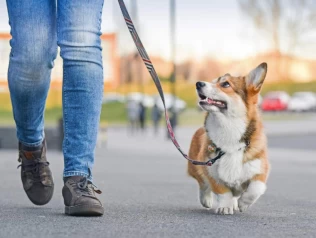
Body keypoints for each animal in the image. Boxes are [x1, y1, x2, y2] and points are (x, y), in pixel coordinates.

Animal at [188, 62, 270, 215]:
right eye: (213, 81)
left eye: (225, 84)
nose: (198, 83)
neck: (228, 129)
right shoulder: (211, 171)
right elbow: (223, 192)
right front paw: (225, 207)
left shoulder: (260, 169)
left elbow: (255, 189)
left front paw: (243, 204)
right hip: (194, 166)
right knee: (203, 184)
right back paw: (206, 200)